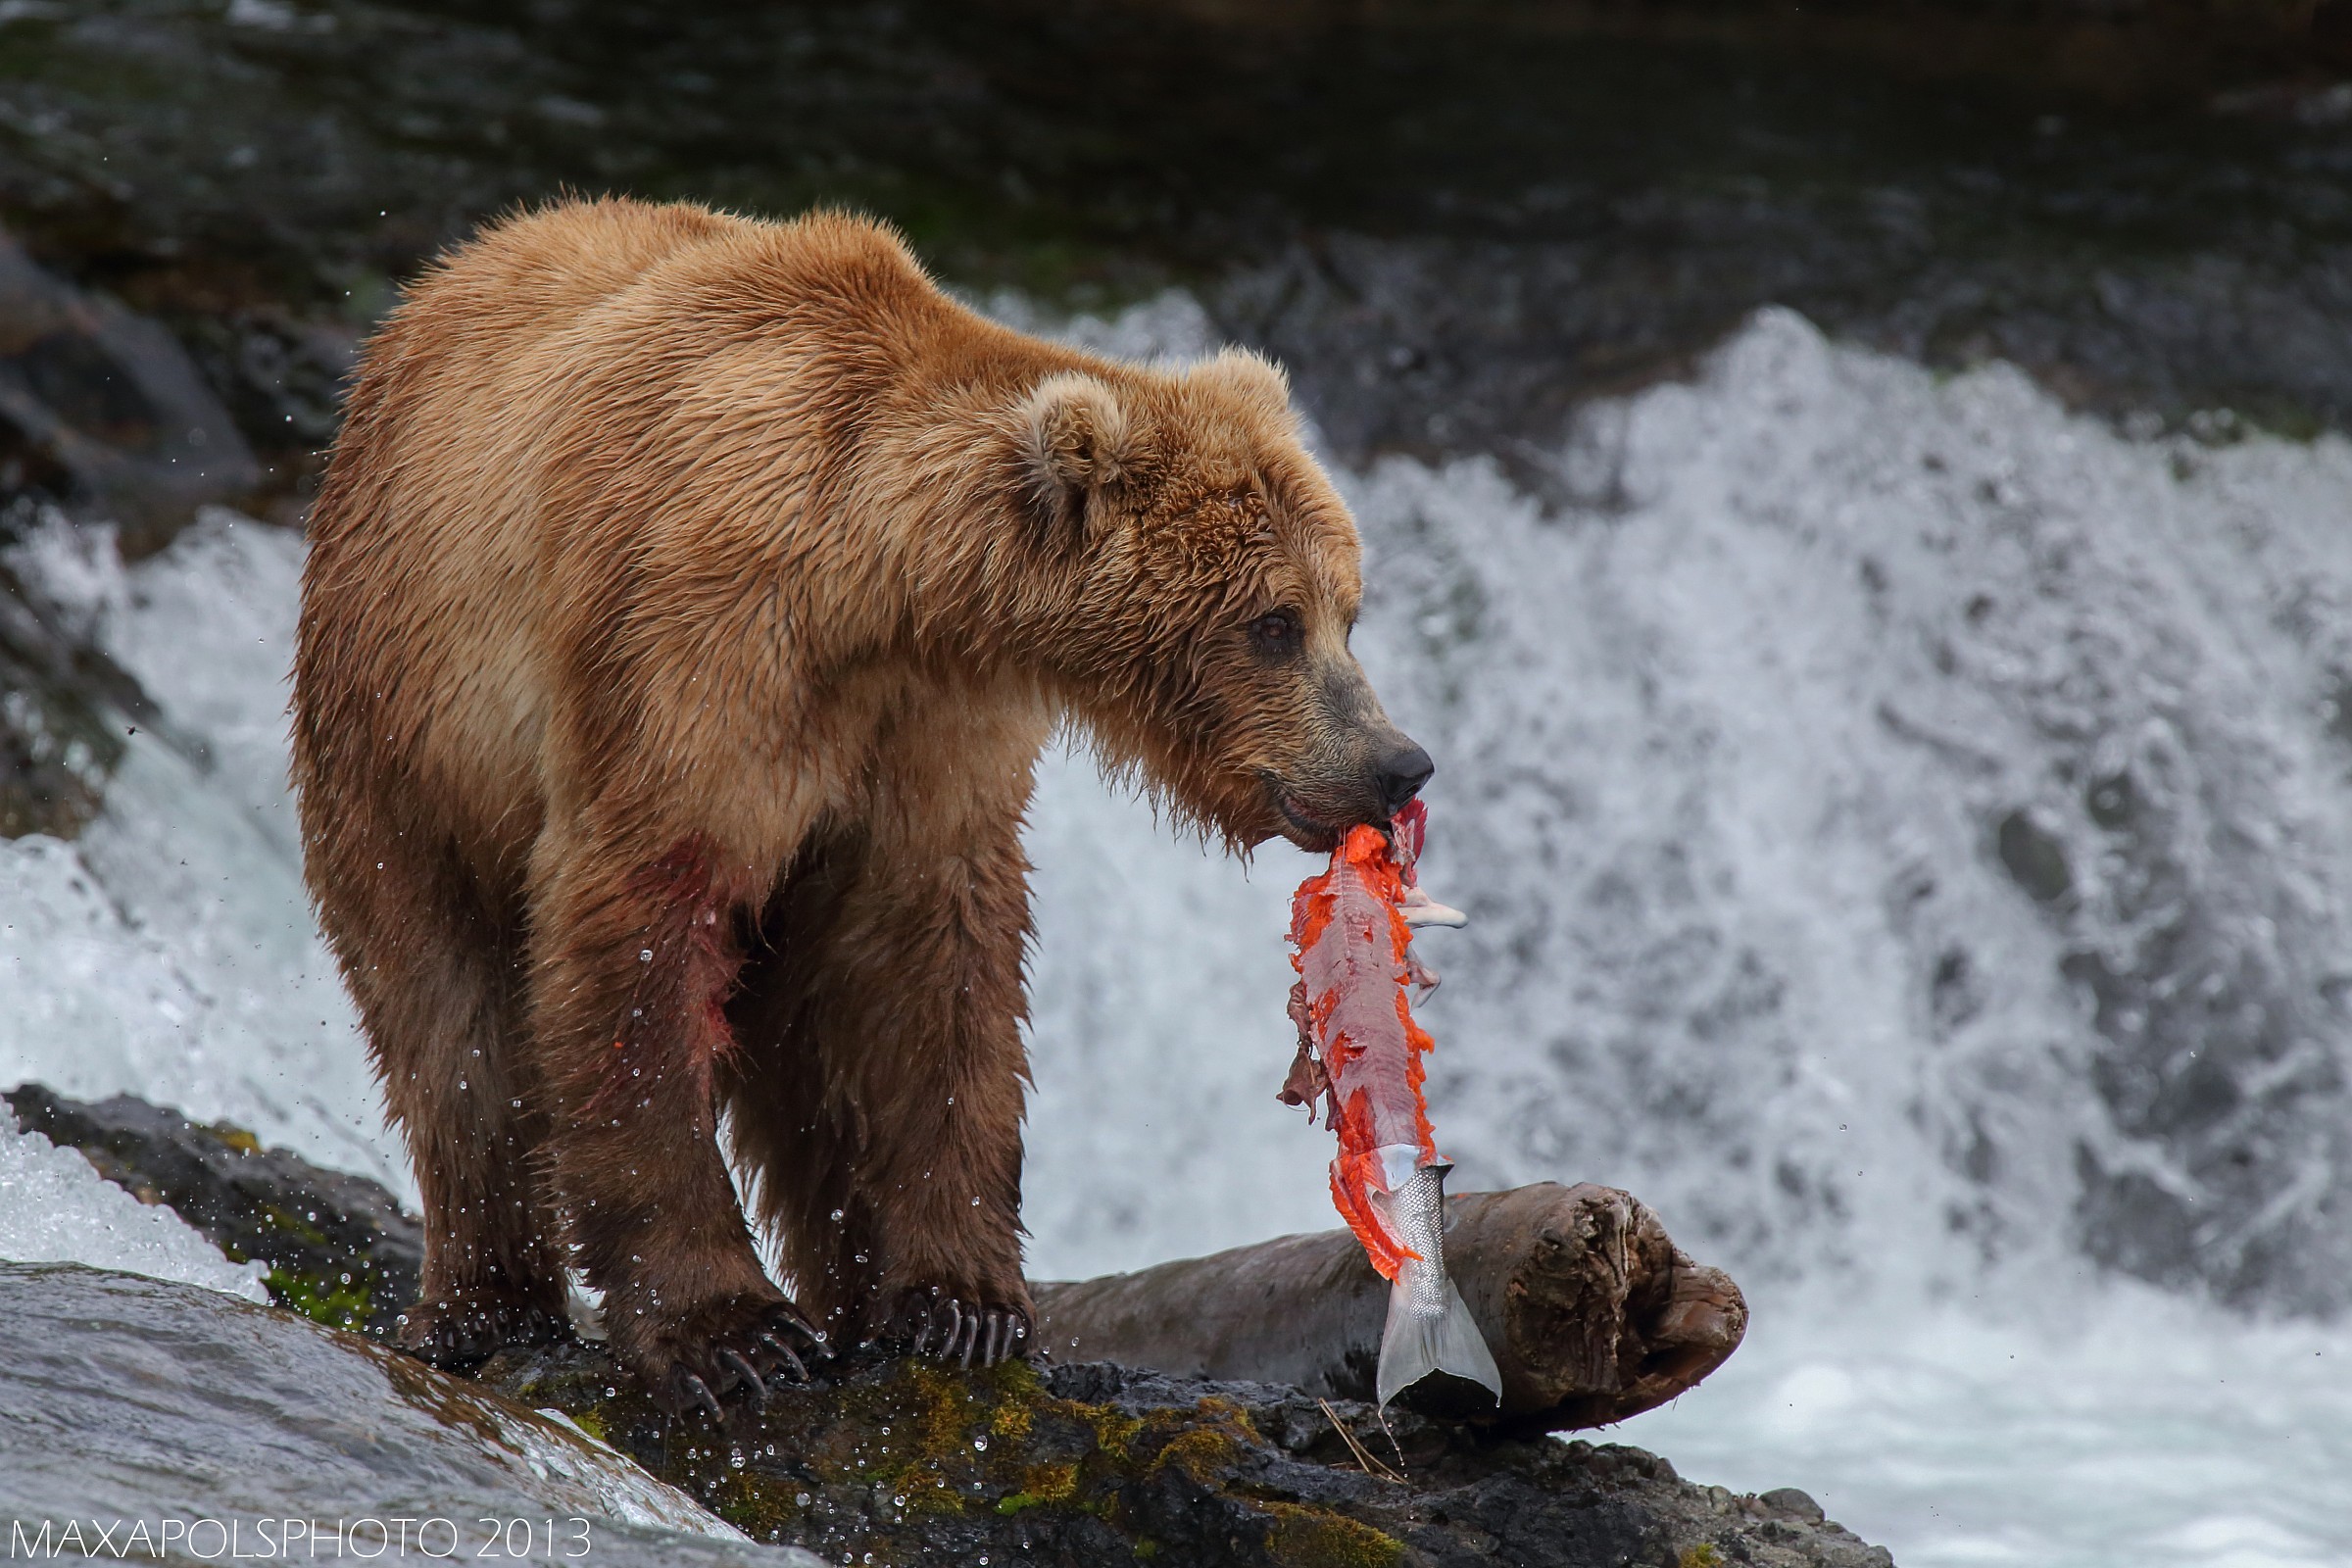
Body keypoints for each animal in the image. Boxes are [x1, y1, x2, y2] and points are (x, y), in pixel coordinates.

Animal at [291, 195, 1433, 1414]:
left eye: (1348, 608)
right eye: (1273, 621)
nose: (1398, 763)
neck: (876, 585)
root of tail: (431, 293)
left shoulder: (927, 733)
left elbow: (933, 964)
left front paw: (960, 1302)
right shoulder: (697, 649)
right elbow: (637, 925)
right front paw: (729, 1329)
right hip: (399, 718)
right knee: (446, 1014)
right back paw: (485, 1301)